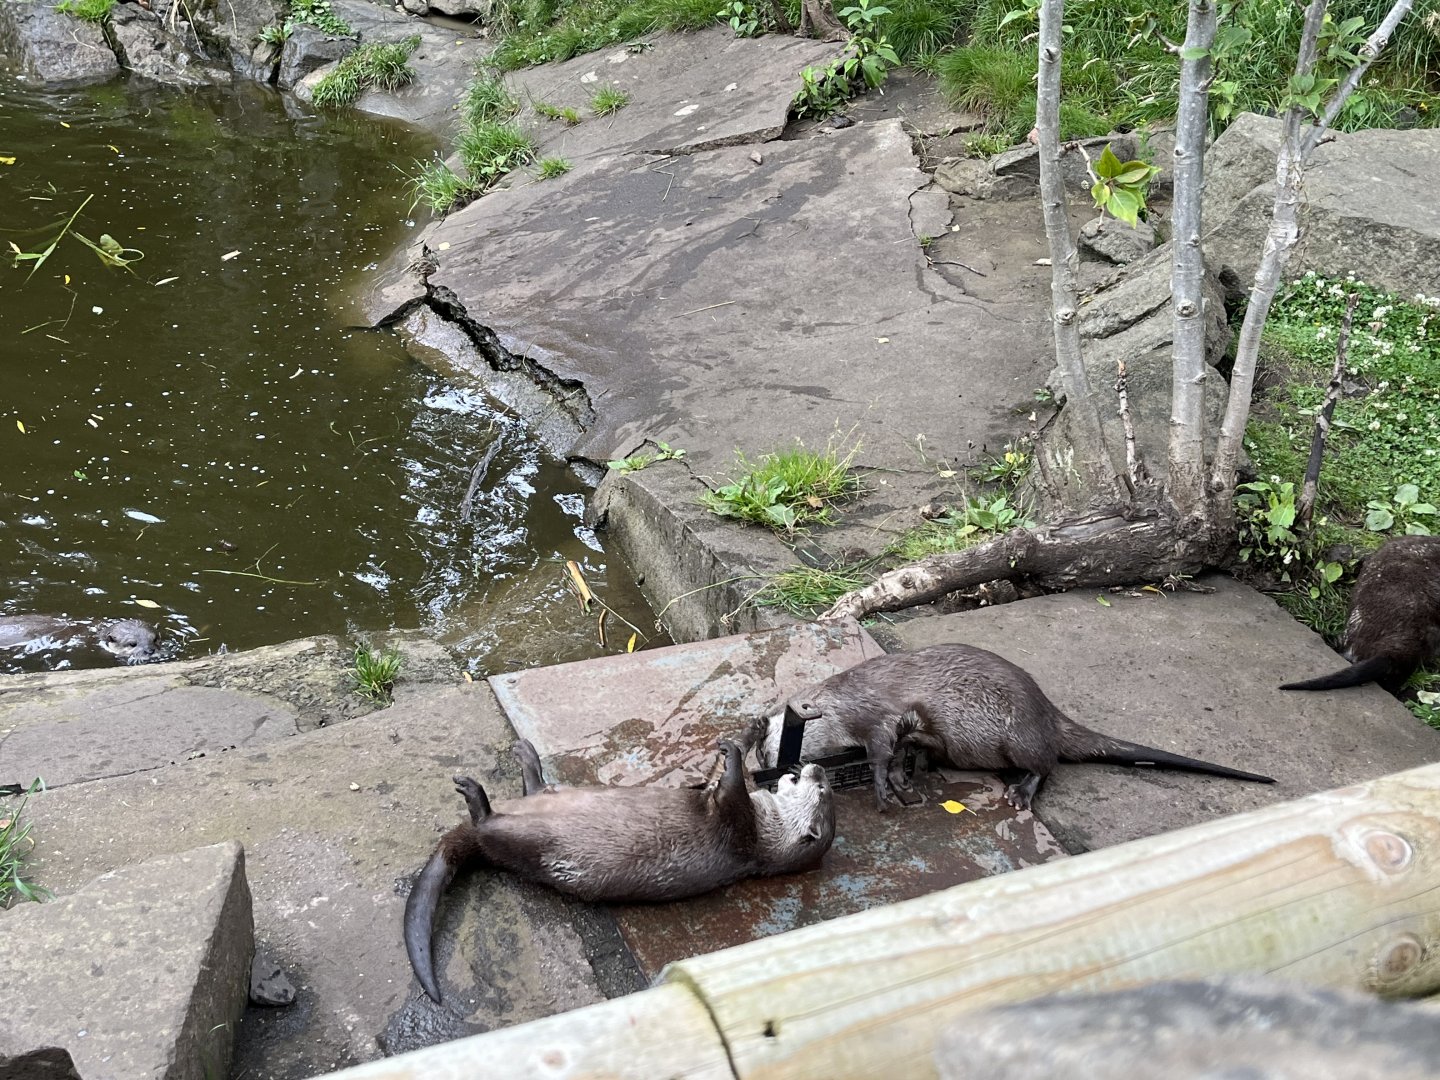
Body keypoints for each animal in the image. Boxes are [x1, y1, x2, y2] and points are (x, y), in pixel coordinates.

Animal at [404, 738, 836, 1003]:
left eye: (823, 792)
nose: (819, 770)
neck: (762, 831)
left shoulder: (737, 827)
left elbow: (730, 789)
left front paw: (733, 751)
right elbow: (715, 782)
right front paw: (733, 747)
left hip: (526, 842)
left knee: (486, 827)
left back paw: (476, 796)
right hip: (544, 801)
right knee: (534, 789)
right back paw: (526, 754)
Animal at [750, 643, 1274, 813]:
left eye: (768, 751)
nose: (771, 774)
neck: (842, 702)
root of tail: (1048, 712)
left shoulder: (876, 713)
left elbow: (880, 751)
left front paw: (884, 788)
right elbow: (903, 748)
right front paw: (904, 781)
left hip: (1018, 734)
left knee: (1048, 763)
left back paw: (1021, 793)